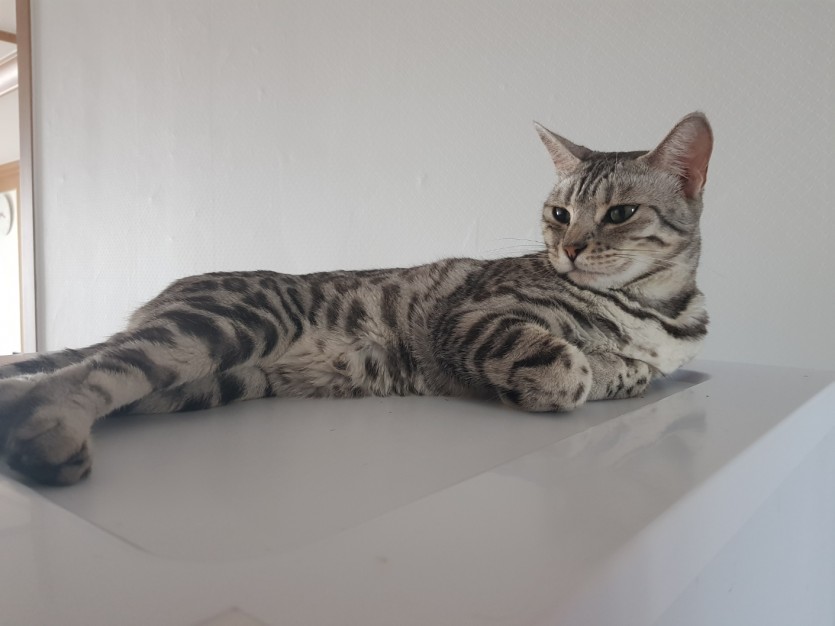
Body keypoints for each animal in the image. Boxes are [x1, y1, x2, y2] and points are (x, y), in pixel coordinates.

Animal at [0, 112, 712, 486]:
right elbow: (566, 365)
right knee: (85, 372)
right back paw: (50, 439)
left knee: (64, 374)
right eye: (559, 213)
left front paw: (621, 367)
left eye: (619, 212)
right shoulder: (468, 316)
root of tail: (161, 299)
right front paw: (570, 374)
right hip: (225, 325)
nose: (568, 247)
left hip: (208, 382)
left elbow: (635, 372)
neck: (656, 310)